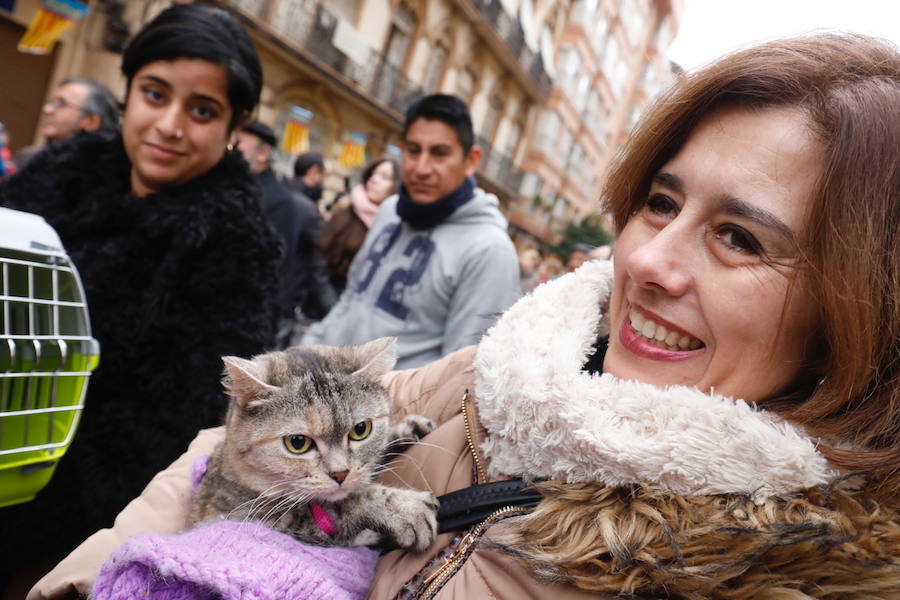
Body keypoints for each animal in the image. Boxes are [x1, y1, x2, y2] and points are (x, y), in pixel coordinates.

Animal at [190, 336, 440, 552]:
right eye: (297, 443)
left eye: (361, 429)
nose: (340, 474)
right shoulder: (254, 518)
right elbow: (344, 503)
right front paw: (404, 509)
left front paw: (406, 431)